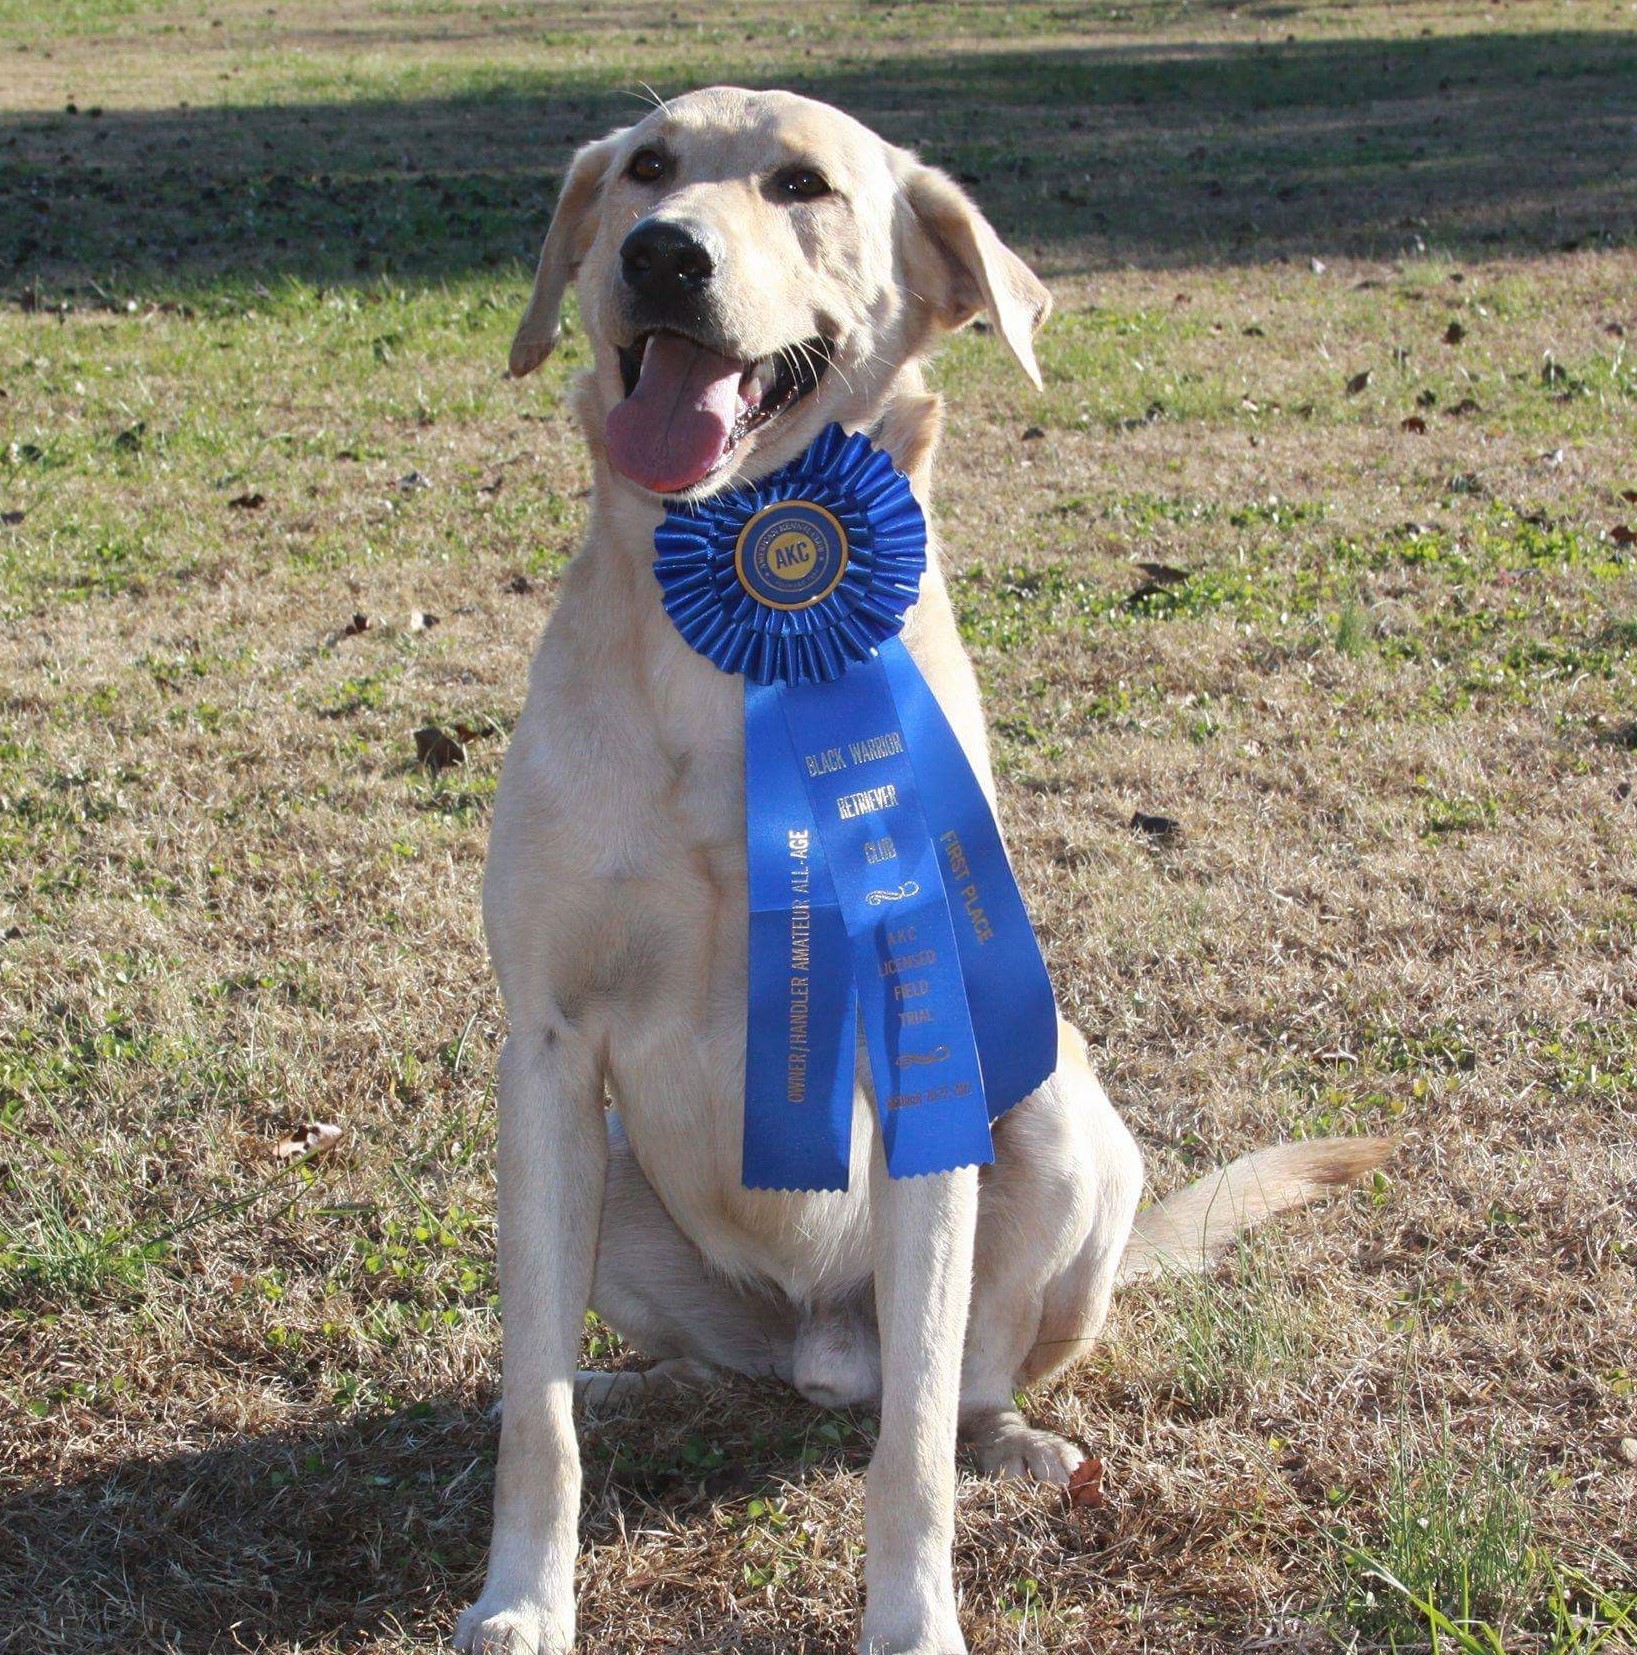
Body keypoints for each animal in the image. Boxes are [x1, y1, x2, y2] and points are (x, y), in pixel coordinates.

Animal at [453, 87, 1383, 1655]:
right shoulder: (548, 1049)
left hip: (1059, 1126)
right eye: (646, 167)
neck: (726, 658)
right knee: (662, 1365)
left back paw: (1009, 1438)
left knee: (947, 1389)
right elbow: (536, 1408)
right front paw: (524, 1596)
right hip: (614, 1178)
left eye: (801, 185)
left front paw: (911, 1618)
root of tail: (823, 1348)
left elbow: (908, 1461)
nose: (661, 254)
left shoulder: (922, 1038)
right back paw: (657, 1388)